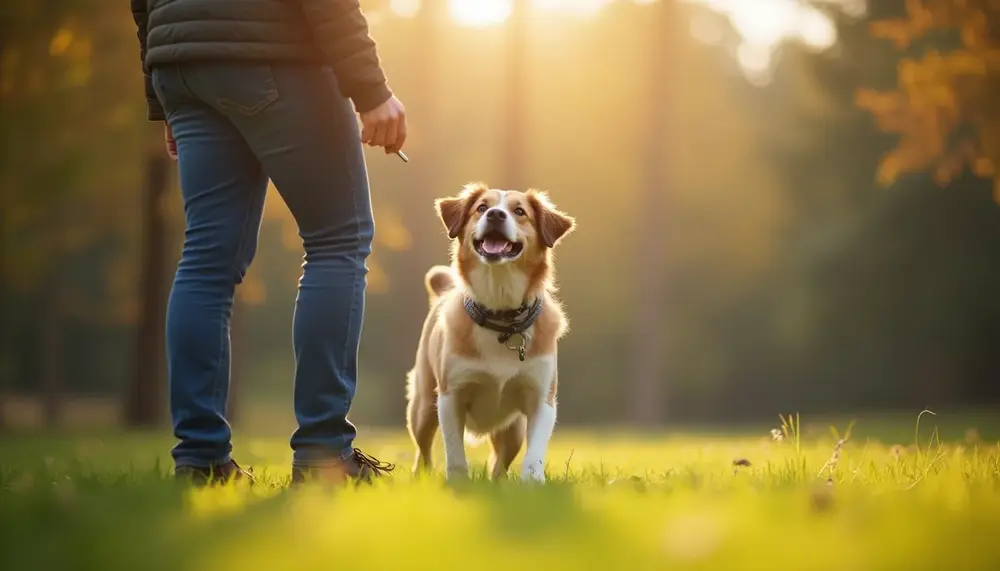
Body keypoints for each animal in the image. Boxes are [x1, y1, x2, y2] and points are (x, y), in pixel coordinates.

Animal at [404, 182, 576, 482]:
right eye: (481, 207)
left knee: (500, 463)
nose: (495, 214)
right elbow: (454, 451)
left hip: (513, 431)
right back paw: (420, 477)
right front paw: (457, 482)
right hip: (423, 407)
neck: (501, 314)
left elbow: (535, 452)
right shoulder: (450, 396)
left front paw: (533, 483)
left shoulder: (541, 398)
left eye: (520, 211)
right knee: (423, 452)